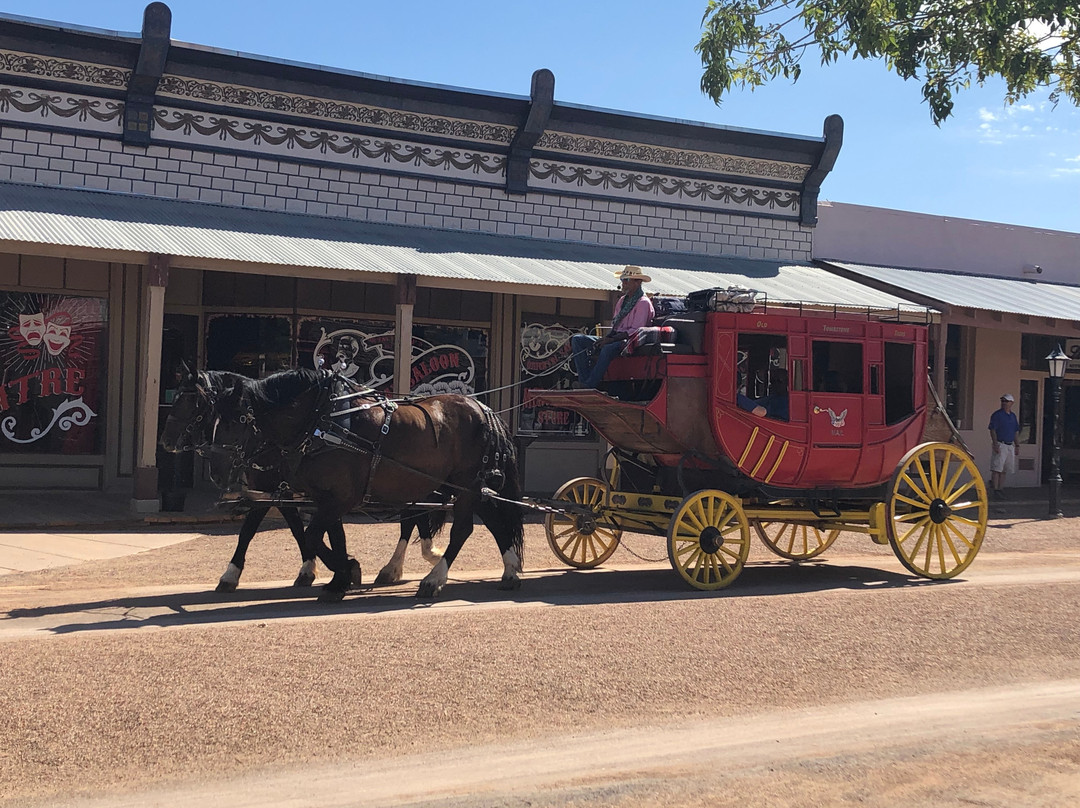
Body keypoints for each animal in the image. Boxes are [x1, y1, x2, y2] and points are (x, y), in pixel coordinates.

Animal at [169, 367, 527, 600]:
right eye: (212, 415)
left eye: (237, 420)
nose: (165, 441)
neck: (319, 420)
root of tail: (482, 407)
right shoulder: (318, 495)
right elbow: (325, 535)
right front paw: (340, 576)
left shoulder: (330, 495)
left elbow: (309, 534)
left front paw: (343, 571)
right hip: (462, 484)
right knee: (490, 520)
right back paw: (508, 569)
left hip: (466, 483)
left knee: (462, 528)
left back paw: (433, 578)